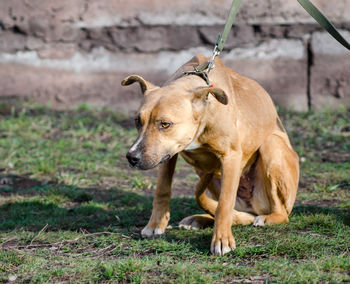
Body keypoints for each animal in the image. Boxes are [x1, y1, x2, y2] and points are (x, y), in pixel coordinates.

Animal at [121, 54, 300, 256]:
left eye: (165, 124)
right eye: (137, 121)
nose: (132, 158)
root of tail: (254, 209)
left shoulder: (230, 157)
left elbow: (224, 204)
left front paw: (222, 240)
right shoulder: (167, 155)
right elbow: (162, 190)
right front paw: (155, 224)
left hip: (271, 146)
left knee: (279, 213)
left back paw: (268, 218)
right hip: (206, 174)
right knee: (236, 216)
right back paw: (200, 219)